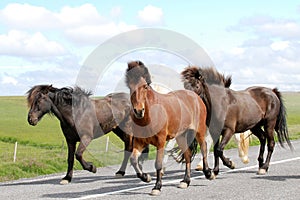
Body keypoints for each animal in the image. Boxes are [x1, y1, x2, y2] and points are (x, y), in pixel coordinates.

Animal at [125, 60, 214, 195]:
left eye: (145, 86)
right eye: (130, 87)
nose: (139, 111)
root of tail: (195, 96)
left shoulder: (161, 141)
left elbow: (158, 163)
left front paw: (157, 187)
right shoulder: (140, 142)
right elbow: (133, 160)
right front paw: (146, 177)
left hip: (199, 130)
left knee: (203, 148)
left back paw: (209, 173)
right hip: (181, 136)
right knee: (188, 155)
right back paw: (185, 181)